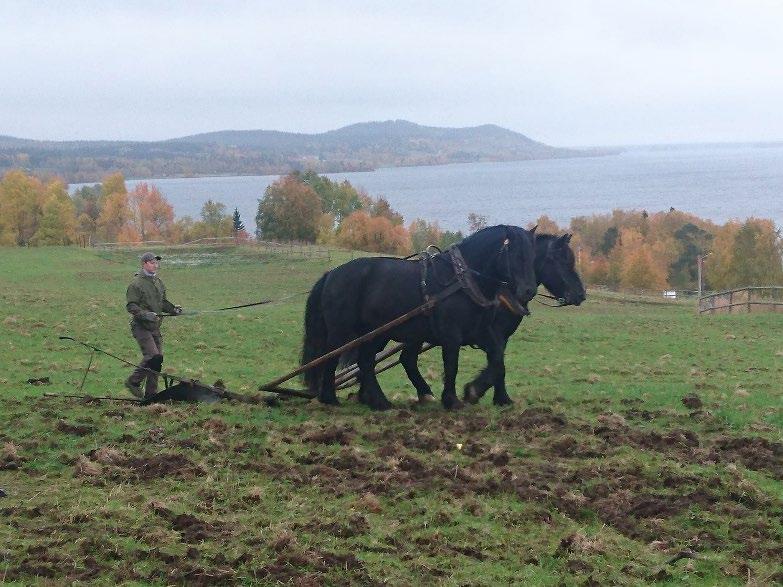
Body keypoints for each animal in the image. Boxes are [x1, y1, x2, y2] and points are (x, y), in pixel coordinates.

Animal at [304, 225, 544, 408]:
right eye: (516, 255)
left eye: (533, 256)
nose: (528, 291)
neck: (463, 280)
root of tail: (332, 274)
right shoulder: (451, 335)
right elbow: (452, 365)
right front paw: (452, 400)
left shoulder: (481, 332)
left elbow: (497, 361)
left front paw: (473, 391)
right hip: (343, 332)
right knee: (332, 357)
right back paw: (331, 398)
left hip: (375, 335)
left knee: (365, 362)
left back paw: (378, 401)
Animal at [398, 232, 580, 406]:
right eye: (561, 260)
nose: (581, 294)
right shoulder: (491, 333)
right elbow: (498, 364)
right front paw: (481, 392)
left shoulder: (500, 337)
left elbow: (498, 361)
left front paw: (501, 398)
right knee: (407, 358)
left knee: (407, 358)